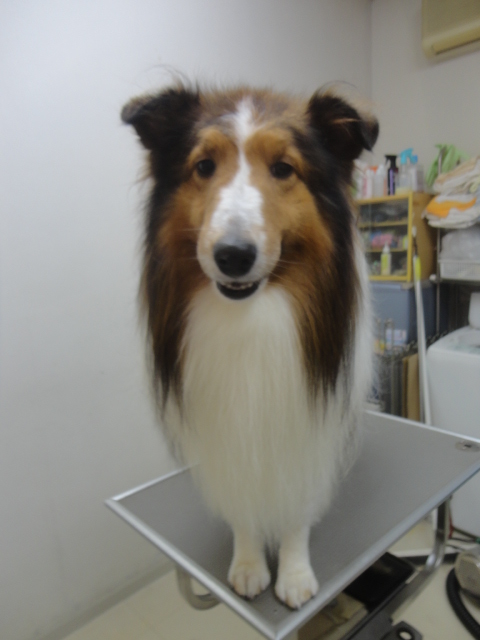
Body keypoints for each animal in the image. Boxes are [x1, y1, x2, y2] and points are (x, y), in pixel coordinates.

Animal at [121, 83, 378, 609]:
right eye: (203, 165)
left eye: (283, 168)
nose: (233, 256)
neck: (249, 317)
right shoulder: (225, 431)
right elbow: (242, 504)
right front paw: (248, 564)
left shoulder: (305, 424)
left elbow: (296, 507)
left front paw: (294, 575)